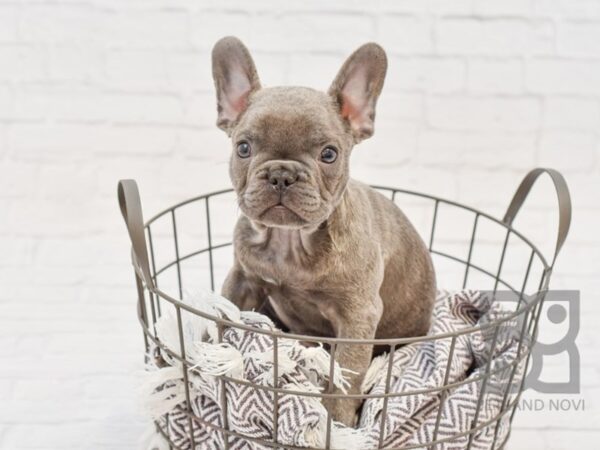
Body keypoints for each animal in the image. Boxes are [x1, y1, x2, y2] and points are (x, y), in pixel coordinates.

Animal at [212, 36, 436, 426]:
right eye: (243, 148)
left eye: (329, 154)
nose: (281, 174)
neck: (288, 242)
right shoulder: (242, 280)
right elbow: (225, 321)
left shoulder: (358, 316)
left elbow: (346, 375)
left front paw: (338, 422)